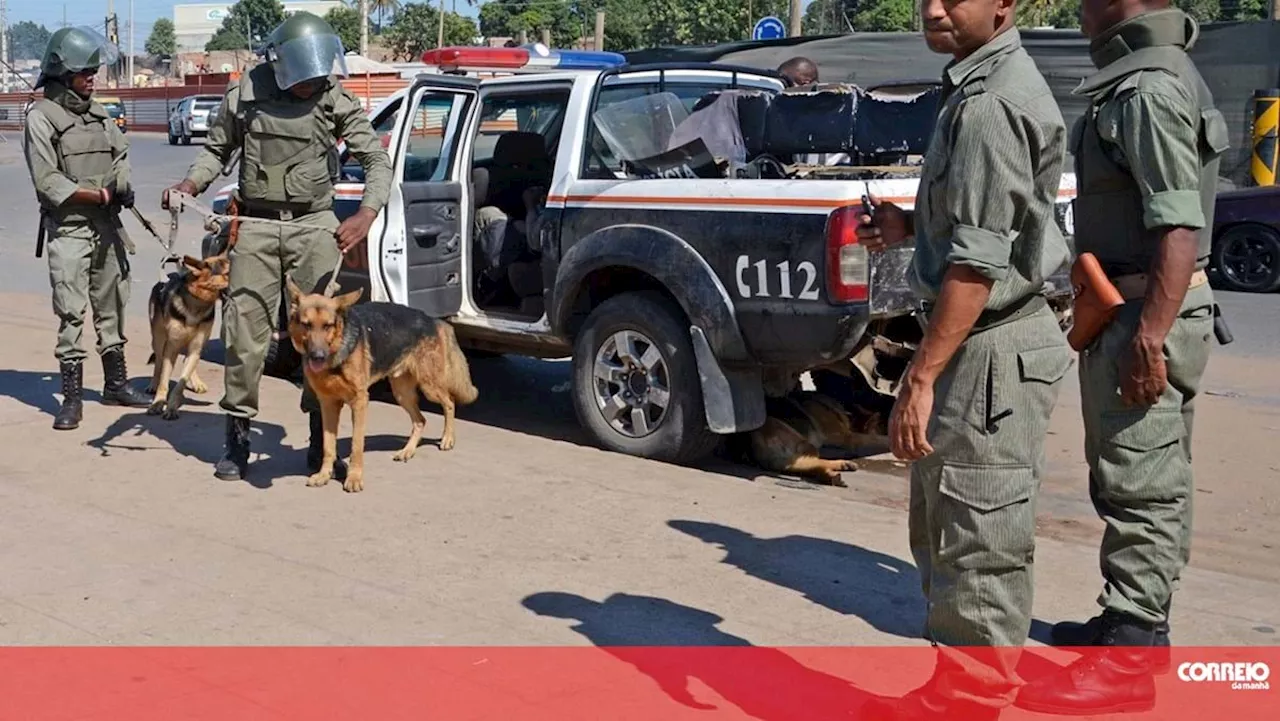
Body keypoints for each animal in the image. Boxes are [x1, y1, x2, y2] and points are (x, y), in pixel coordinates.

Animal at [146, 254, 231, 420]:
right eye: (227, 274)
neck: (198, 303)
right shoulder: (171, 348)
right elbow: (164, 380)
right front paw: (158, 403)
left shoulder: (196, 346)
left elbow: (181, 382)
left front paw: (172, 407)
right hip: (158, 338)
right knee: (158, 361)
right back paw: (153, 384)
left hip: (199, 344)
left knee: (187, 361)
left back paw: (196, 382)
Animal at [285, 279, 481, 494]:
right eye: (306, 325)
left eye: (327, 326)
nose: (318, 356)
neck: (336, 352)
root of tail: (433, 320)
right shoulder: (328, 404)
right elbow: (328, 445)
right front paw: (324, 475)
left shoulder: (360, 402)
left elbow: (356, 445)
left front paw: (354, 478)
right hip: (402, 393)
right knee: (420, 420)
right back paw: (407, 451)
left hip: (429, 386)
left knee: (449, 402)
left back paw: (447, 438)